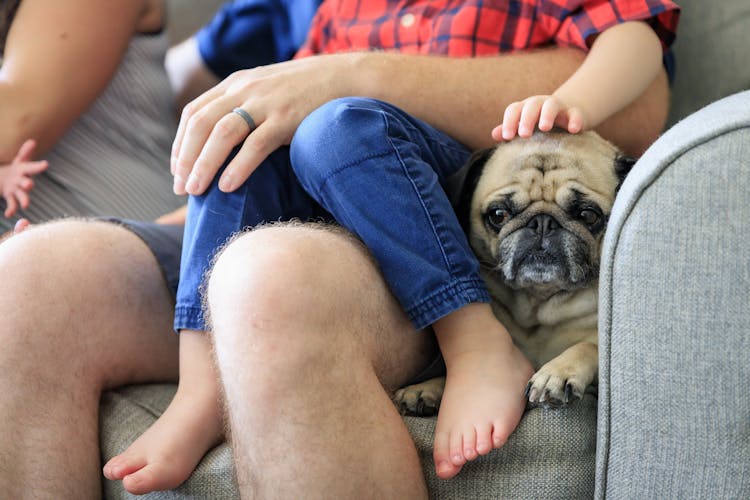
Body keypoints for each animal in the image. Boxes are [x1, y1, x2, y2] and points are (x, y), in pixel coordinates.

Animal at [396, 130, 636, 414]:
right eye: (498, 214)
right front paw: (428, 387)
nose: (542, 222)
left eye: (588, 215)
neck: (540, 306)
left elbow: (588, 346)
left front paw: (557, 372)